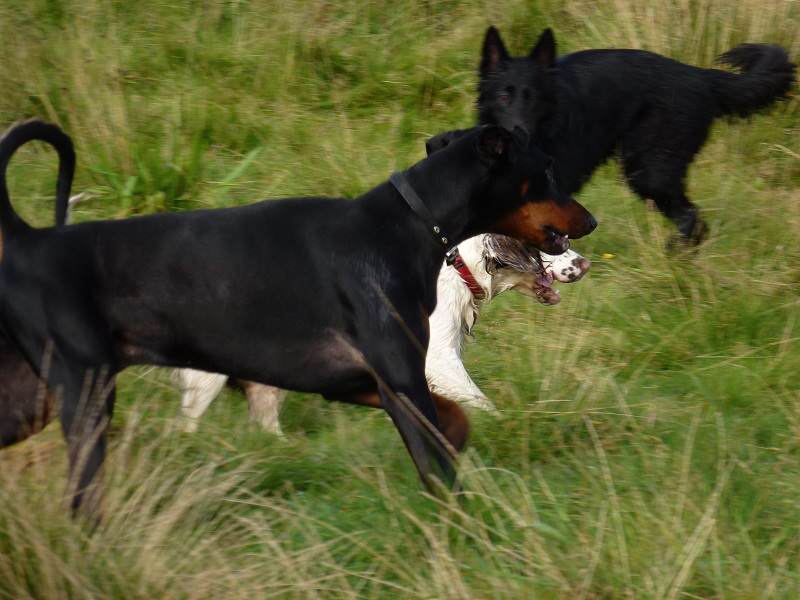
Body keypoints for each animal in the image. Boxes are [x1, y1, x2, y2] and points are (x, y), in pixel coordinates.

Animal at [0, 120, 592, 516]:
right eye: (544, 171)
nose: (592, 222)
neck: (409, 226)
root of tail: (29, 241)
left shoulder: (358, 381)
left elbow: (454, 422)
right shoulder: (406, 377)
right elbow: (443, 460)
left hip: (30, 402)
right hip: (93, 396)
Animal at [476, 27, 792, 244]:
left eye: (536, 99)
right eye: (504, 96)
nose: (519, 136)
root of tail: (700, 76)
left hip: (649, 171)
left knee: (692, 219)